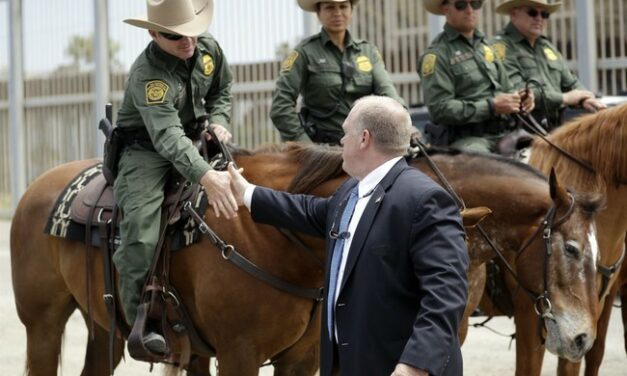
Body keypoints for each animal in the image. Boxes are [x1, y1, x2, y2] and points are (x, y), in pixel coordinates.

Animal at [11, 143, 604, 374]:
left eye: (598, 257)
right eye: (571, 248)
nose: (581, 338)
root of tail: (40, 185)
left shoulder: (299, 360)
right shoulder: (240, 357)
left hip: (101, 328)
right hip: (43, 325)